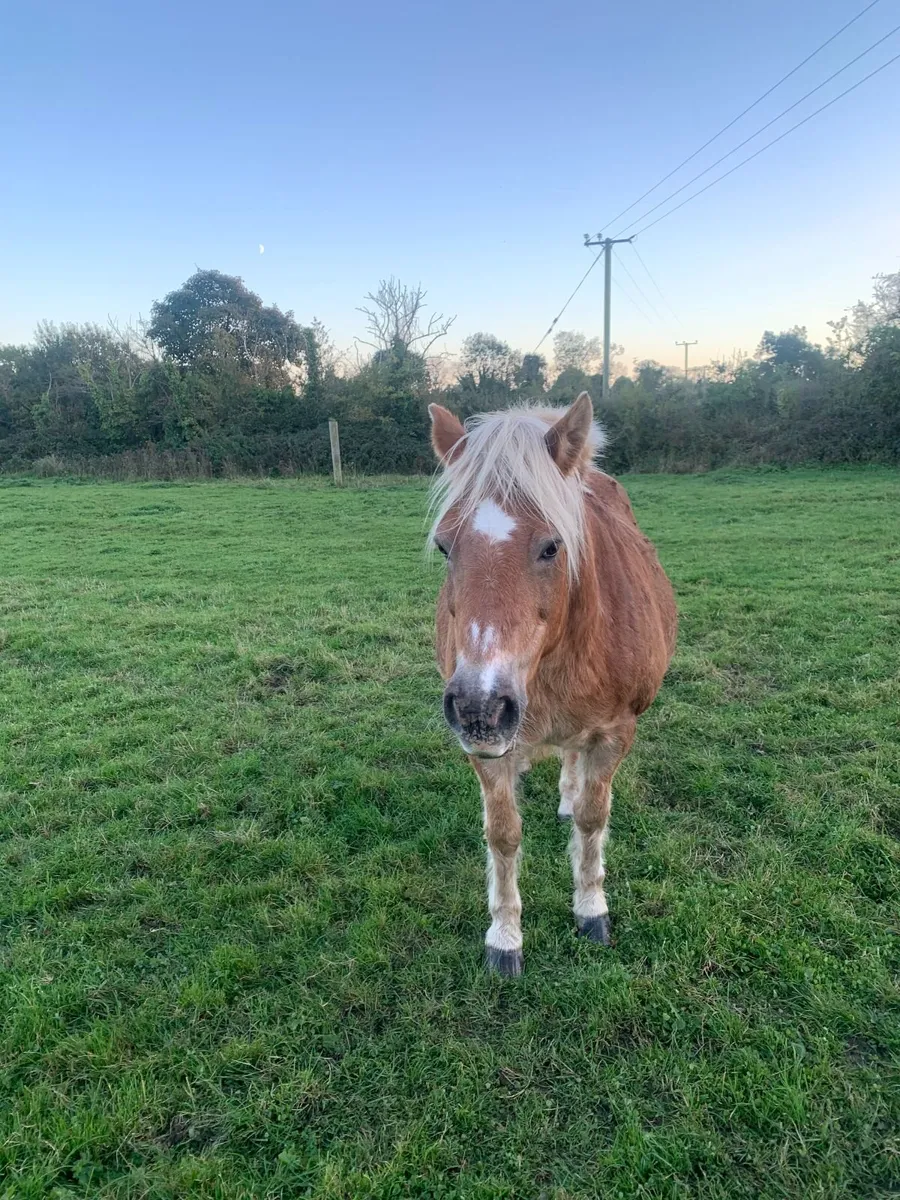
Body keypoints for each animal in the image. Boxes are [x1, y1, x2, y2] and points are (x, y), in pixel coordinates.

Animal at [428, 392, 677, 975]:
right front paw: (504, 937)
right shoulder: (485, 750)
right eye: (446, 547)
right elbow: (503, 834)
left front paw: (591, 910)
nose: (479, 707)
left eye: (551, 547)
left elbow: (591, 818)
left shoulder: (614, 733)